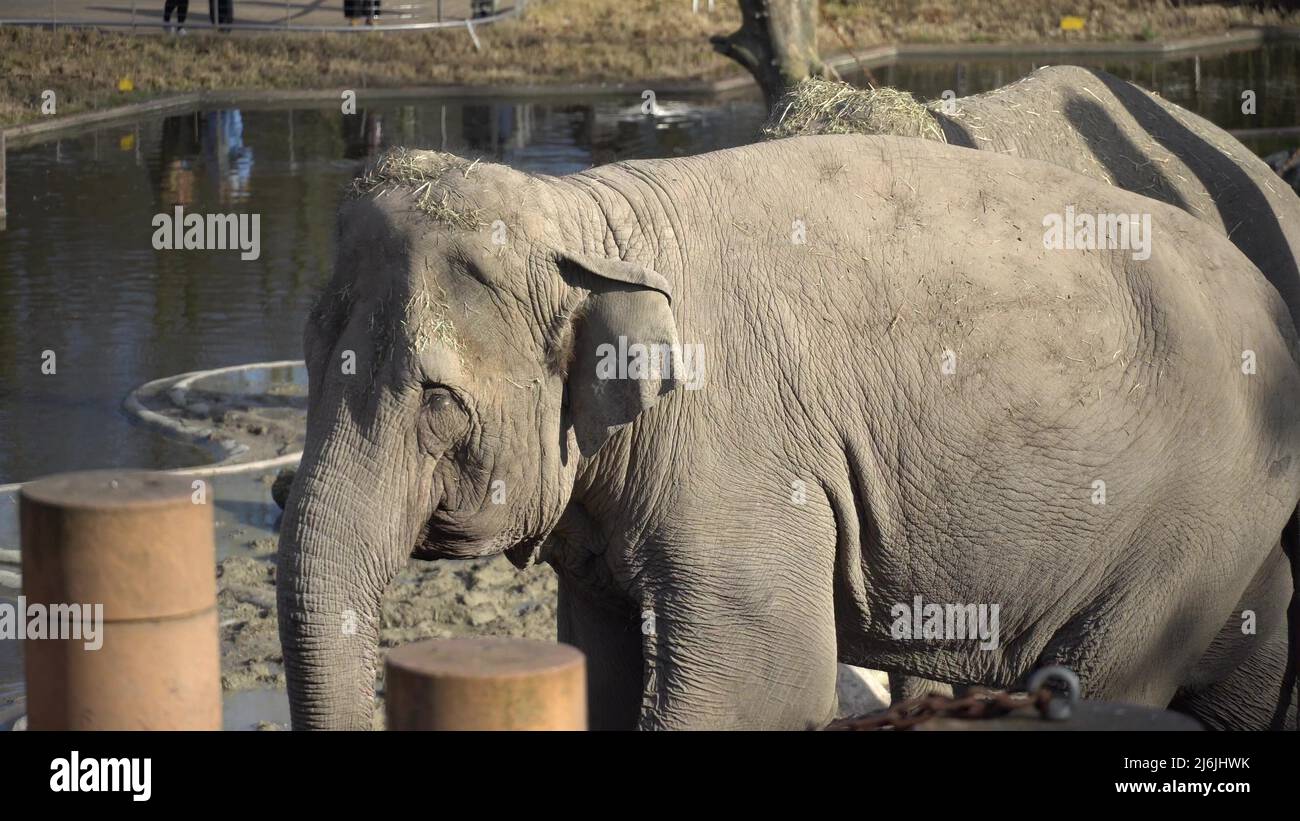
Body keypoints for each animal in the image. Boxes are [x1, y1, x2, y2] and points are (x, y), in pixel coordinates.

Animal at [276, 136, 1300, 732]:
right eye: (307, 359)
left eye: (438, 399)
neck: (589, 216)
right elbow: (600, 666)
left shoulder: (746, 461)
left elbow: (755, 688)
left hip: (1190, 517)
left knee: (1116, 674)